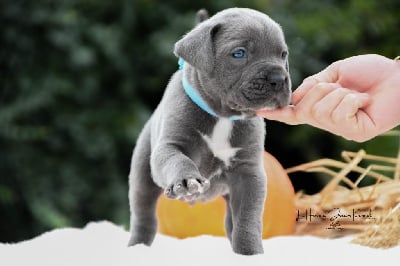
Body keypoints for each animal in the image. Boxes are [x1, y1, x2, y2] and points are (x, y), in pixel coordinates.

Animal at [128, 7, 290, 255]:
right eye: (239, 53)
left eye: (283, 54)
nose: (279, 78)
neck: (222, 116)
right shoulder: (170, 146)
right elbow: (177, 159)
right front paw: (186, 180)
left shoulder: (248, 174)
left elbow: (247, 219)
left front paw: (250, 253)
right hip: (142, 173)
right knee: (143, 213)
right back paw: (137, 246)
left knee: (231, 222)